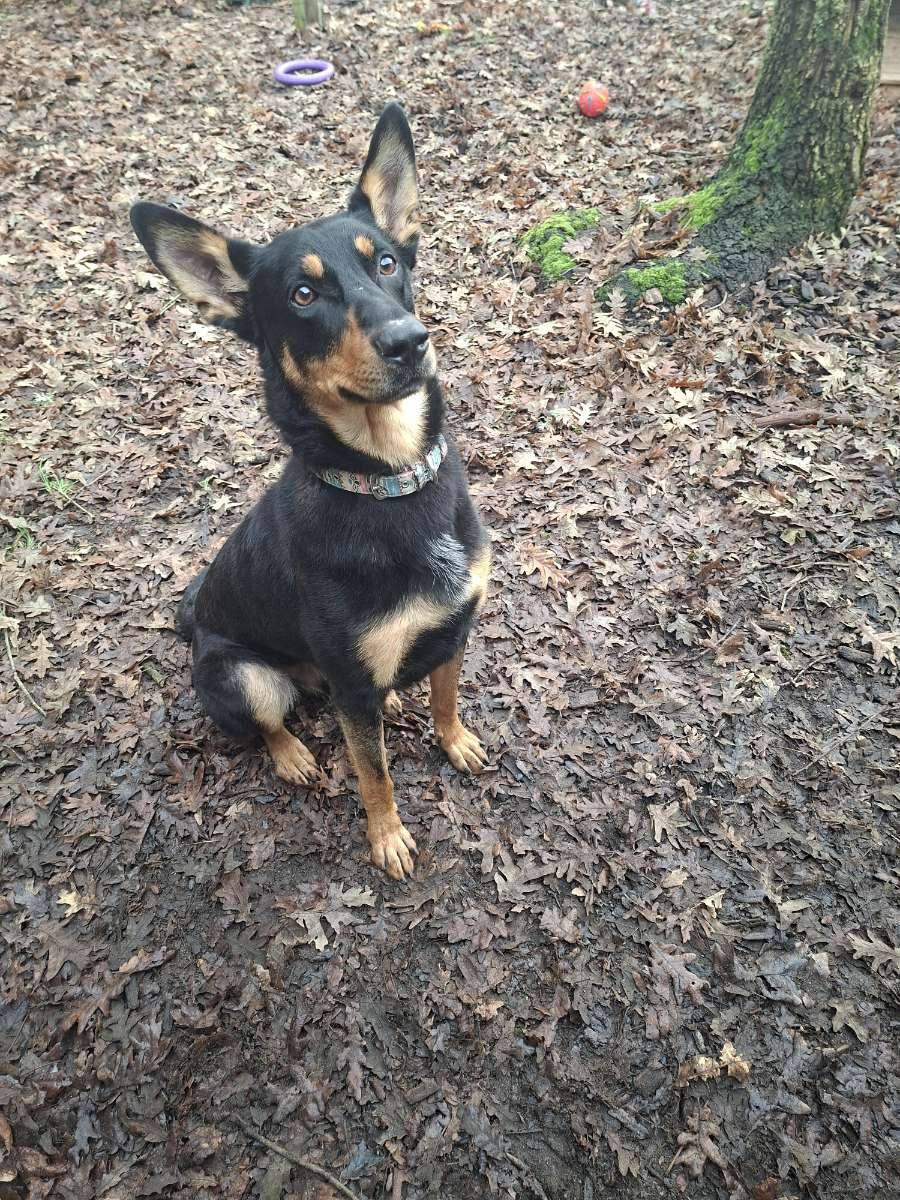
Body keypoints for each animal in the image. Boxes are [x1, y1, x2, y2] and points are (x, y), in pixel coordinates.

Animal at [130, 104, 489, 880]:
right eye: (302, 294)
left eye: (386, 262)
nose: (410, 340)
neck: (388, 482)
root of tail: (194, 627)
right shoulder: (356, 687)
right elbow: (374, 772)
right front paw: (386, 836)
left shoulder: (455, 627)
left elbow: (446, 699)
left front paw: (455, 741)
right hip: (244, 674)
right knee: (266, 724)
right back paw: (293, 754)